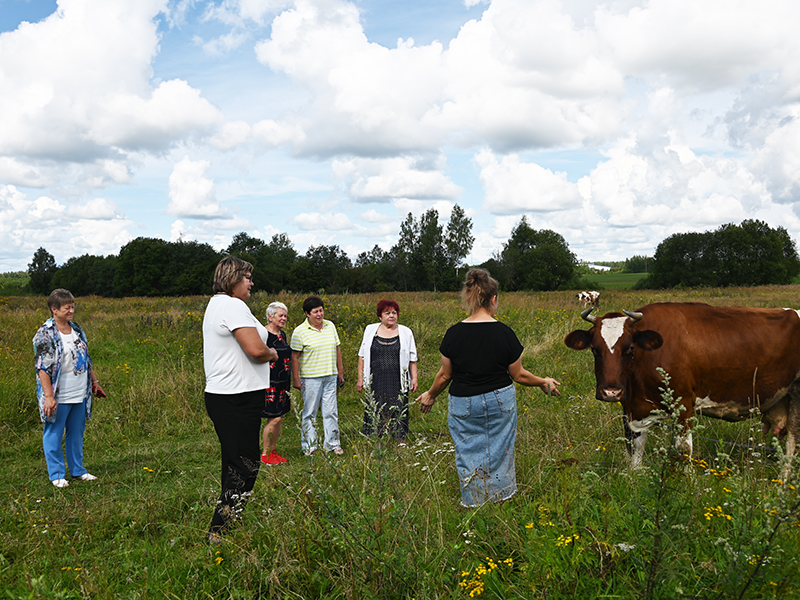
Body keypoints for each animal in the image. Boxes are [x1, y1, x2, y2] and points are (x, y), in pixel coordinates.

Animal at [564, 302, 800, 466]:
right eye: (595, 349)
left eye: (630, 348)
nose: (611, 392)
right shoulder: (632, 409)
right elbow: (635, 449)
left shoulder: (684, 404)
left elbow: (683, 450)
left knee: (793, 444)